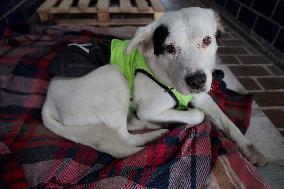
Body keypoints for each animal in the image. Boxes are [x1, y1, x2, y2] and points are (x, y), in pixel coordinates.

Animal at [42, 7, 266, 165]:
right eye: (169, 48)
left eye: (207, 40)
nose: (197, 81)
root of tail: (47, 103)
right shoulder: (149, 108)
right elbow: (198, 115)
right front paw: (180, 118)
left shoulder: (203, 96)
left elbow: (227, 121)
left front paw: (249, 147)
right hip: (115, 75)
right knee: (124, 138)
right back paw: (156, 134)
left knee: (129, 125)